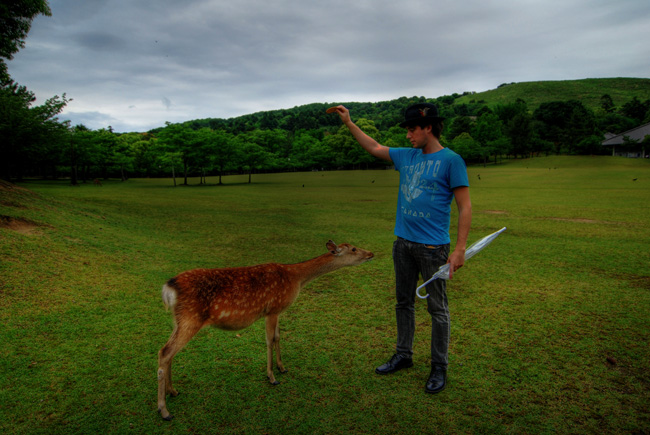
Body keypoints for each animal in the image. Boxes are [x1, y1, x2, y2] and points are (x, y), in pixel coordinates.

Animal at [154, 240, 372, 420]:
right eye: (353, 249)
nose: (371, 253)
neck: (296, 278)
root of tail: (168, 288)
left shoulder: (279, 310)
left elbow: (278, 337)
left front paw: (282, 367)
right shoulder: (273, 309)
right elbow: (269, 340)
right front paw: (271, 377)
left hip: (179, 320)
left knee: (168, 352)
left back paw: (173, 391)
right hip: (191, 318)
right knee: (165, 352)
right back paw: (164, 410)